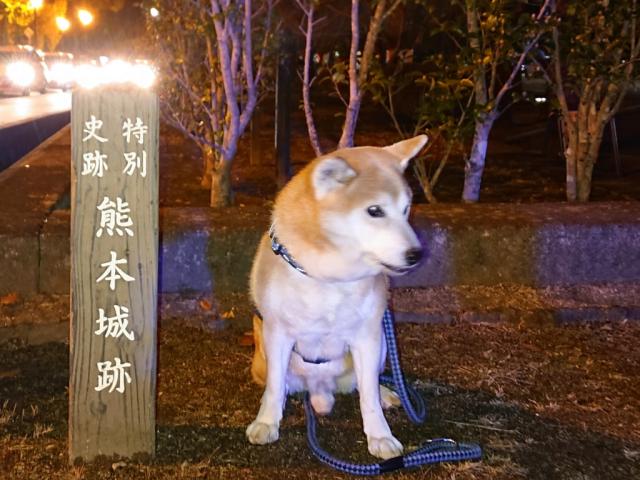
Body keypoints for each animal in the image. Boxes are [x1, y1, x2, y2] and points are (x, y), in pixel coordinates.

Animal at [246, 135, 428, 460]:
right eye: (375, 210)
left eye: (406, 209)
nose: (415, 254)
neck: (330, 277)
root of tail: (320, 390)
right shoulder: (278, 333)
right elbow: (275, 388)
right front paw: (266, 422)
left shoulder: (367, 336)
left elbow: (368, 396)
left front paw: (380, 436)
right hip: (264, 356)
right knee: (281, 385)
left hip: (382, 343)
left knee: (366, 381)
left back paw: (386, 393)